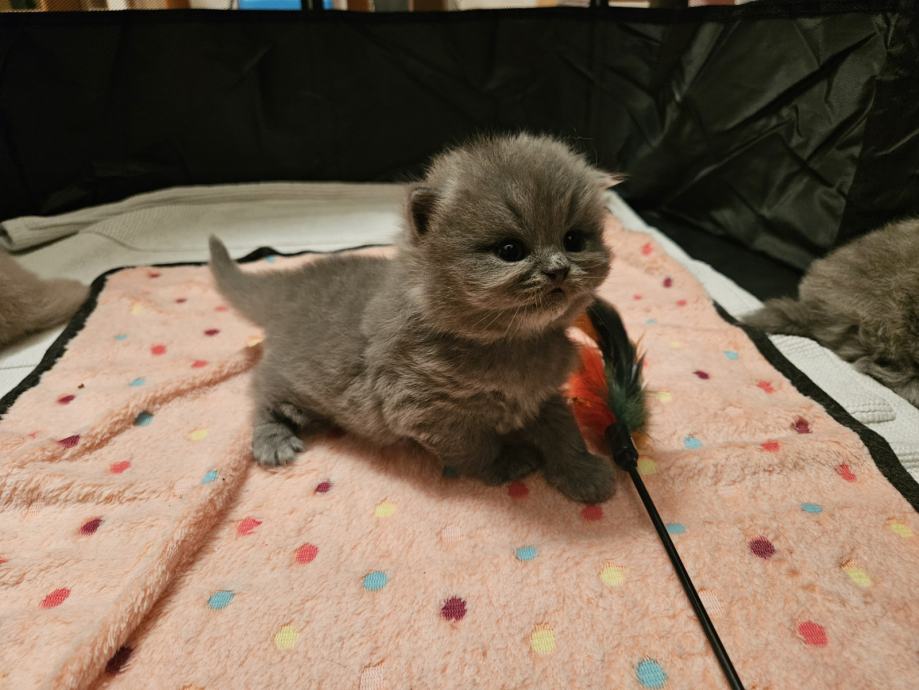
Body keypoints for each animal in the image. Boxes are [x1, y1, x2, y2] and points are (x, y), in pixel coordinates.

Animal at [209, 133, 621, 503]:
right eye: (510, 250)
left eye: (573, 241)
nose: (558, 269)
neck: (513, 342)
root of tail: (292, 283)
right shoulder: (425, 408)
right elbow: (475, 446)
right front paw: (507, 462)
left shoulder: (542, 394)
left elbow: (564, 430)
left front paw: (583, 473)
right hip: (288, 377)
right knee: (262, 393)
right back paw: (273, 439)